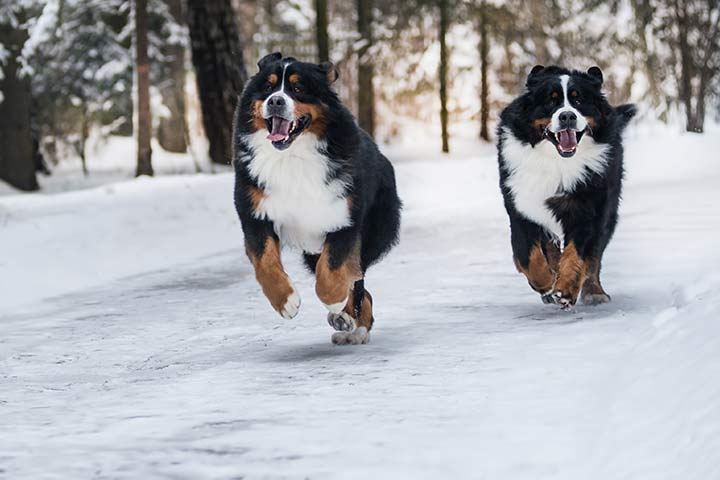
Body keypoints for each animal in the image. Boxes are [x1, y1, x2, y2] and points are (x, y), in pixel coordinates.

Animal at [233, 52, 402, 344]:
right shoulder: (255, 214)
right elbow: (265, 263)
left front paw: (333, 301)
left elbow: (332, 270)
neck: (292, 158)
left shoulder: (344, 218)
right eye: (268, 87)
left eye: (298, 88)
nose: (275, 101)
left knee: (357, 281)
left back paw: (354, 325)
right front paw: (285, 301)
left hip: (374, 231)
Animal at [496, 65, 636, 310]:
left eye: (578, 100)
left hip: (608, 211)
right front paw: (545, 282)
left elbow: (576, 254)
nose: (567, 115)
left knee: (594, 256)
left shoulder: (587, 207)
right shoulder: (520, 204)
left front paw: (565, 289)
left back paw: (594, 291)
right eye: (551, 101)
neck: (556, 161)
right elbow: (526, 254)